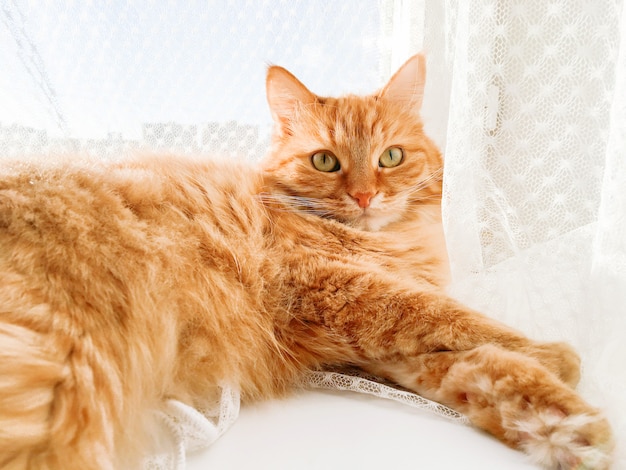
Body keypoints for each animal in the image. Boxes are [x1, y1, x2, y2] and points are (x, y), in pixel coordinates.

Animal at [0, 54, 616, 466]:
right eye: (325, 162)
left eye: (391, 157)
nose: (365, 196)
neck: (390, 245)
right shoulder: (328, 287)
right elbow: (454, 318)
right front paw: (558, 357)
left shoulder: (378, 355)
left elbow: (482, 368)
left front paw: (569, 428)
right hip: (68, 378)